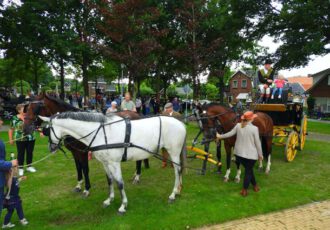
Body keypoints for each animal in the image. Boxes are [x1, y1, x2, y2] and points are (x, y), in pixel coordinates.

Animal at [39, 112, 186, 215]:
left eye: (47, 131)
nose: (51, 148)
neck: (101, 133)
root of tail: (181, 123)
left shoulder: (115, 163)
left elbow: (120, 183)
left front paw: (123, 205)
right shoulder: (105, 163)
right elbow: (110, 180)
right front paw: (109, 200)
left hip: (173, 152)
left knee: (177, 171)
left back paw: (173, 194)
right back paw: (178, 190)